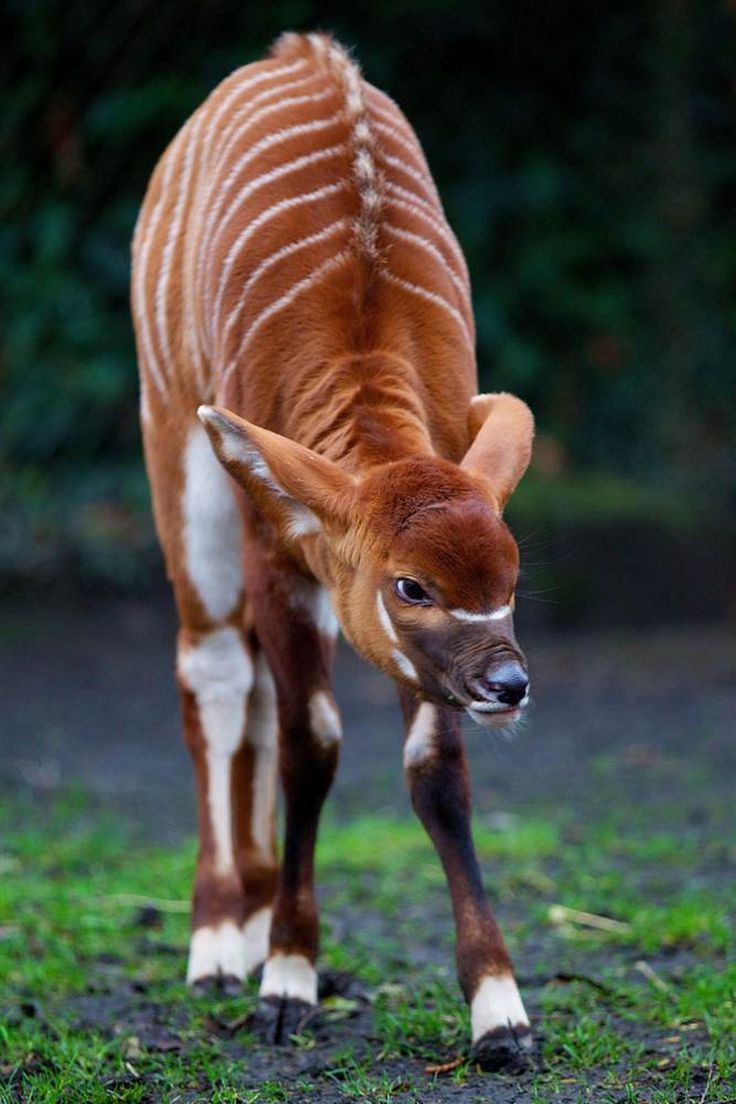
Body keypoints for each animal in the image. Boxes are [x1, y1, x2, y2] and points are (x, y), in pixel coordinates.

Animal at [132, 32, 536, 1068]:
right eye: (412, 586)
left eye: (512, 578)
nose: (509, 684)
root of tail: (297, 50)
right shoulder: (277, 548)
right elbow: (312, 746)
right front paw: (285, 983)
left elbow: (436, 770)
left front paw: (501, 1013)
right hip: (178, 445)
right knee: (216, 666)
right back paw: (217, 943)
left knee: (251, 689)